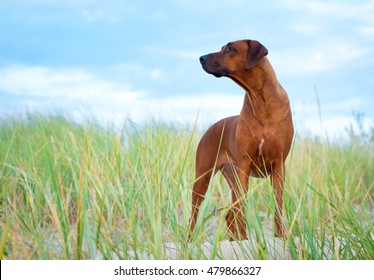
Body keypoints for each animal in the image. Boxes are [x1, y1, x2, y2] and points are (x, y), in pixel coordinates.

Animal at [188, 39, 294, 241]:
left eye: (230, 48)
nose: (201, 58)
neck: (261, 101)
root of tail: (212, 127)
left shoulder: (278, 166)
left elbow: (278, 203)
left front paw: (281, 234)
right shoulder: (244, 165)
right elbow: (241, 209)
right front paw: (244, 239)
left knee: (230, 215)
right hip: (204, 176)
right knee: (196, 213)